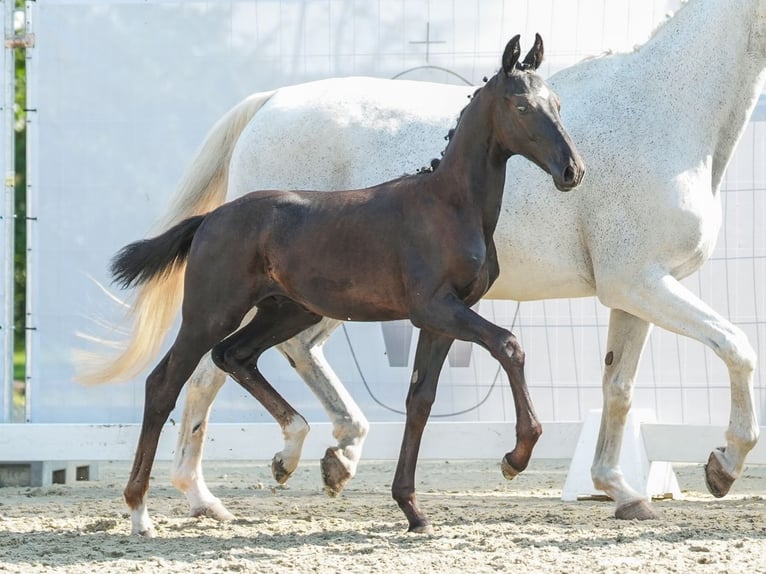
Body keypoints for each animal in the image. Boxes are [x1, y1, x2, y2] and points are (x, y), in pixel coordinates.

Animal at [82, 0, 760, 524]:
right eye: (523, 109)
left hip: (297, 302)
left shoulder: (632, 289)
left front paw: (623, 492)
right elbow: (736, 347)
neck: (665, 117)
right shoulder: (637, 281)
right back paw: (195, 498)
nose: (573, 171)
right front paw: (723, 466)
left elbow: (616, 389)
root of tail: (269, 101)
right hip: (235, 304)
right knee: (194, 378)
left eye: (560, 106)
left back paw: (317, 459)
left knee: (262, 358)